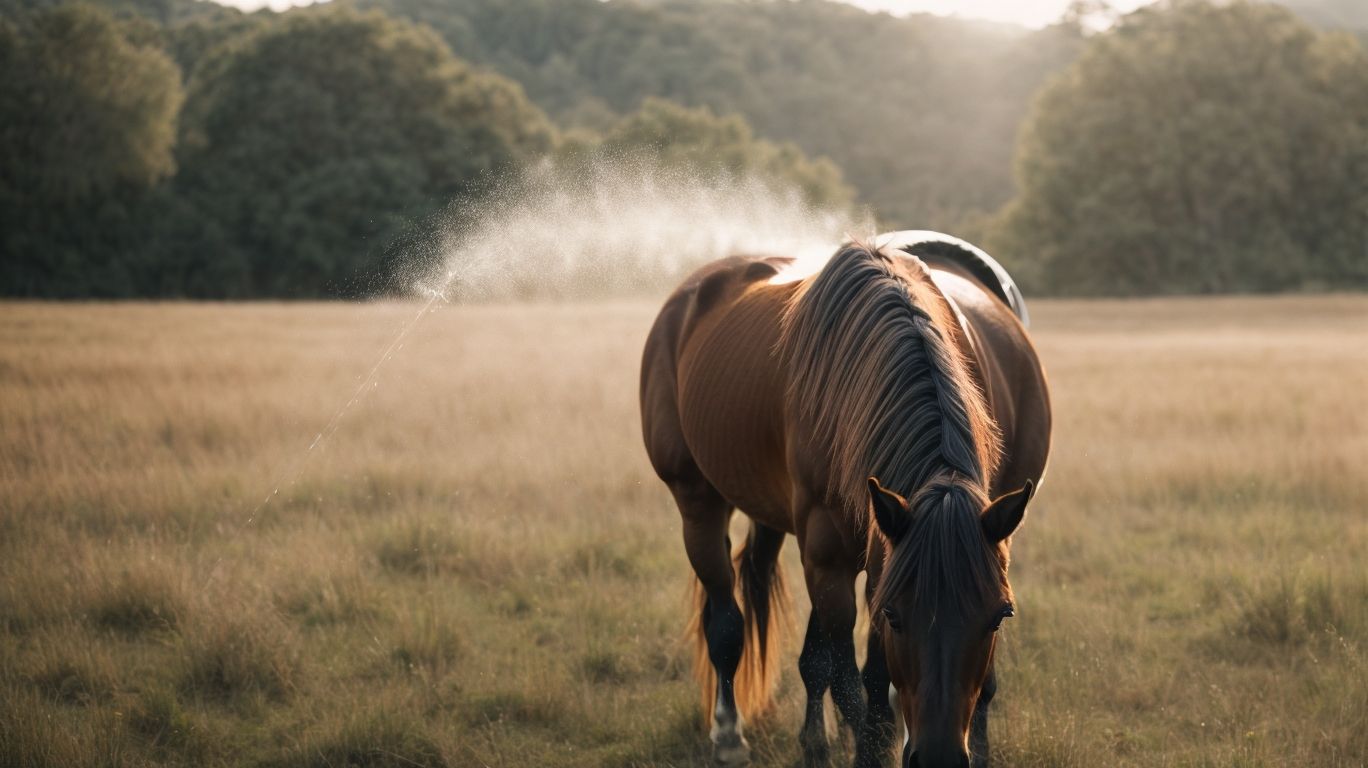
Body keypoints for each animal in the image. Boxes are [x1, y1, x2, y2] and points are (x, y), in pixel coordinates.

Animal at [639, 231, 1052, 768]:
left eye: (1001, 615)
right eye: (895, 614)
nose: (939, 756)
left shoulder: (889, 551)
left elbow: (877, 680)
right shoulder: (834, 557)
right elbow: (853, 687)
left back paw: (814, 738)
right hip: (698, 502)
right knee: (727, 624)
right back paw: (728, 734)